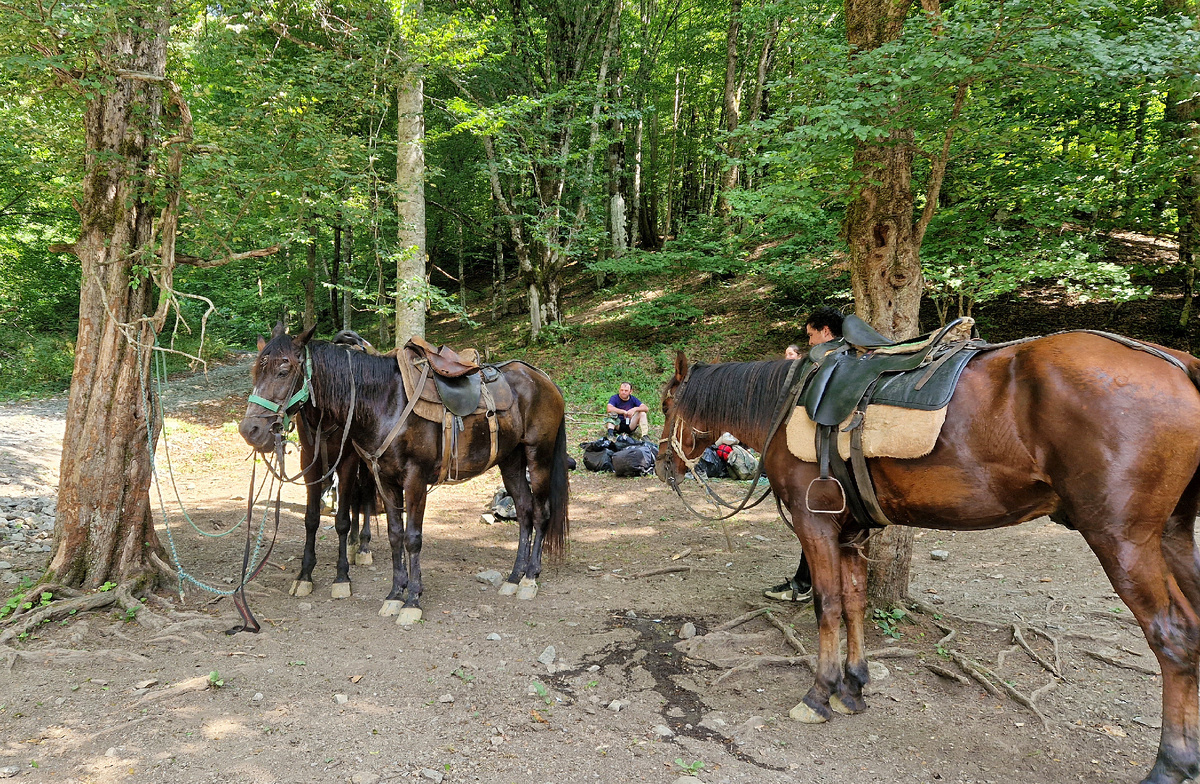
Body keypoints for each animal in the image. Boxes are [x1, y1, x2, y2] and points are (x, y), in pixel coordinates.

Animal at [239, 323, 570, 624]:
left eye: (283, 371)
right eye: (256, 372)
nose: (249, 430)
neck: (385, 402)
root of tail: (544, 379)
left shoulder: (414, 479)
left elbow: (412, 538)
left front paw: (412, 601)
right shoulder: (385, 479)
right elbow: (395, 535)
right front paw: (395, 595)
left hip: (538, 456)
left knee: (541, 513)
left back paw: (530, 578)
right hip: (510, 461)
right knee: (524, 511)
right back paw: (514, 577)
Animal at [656, 333, 1200, 784]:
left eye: (664, 403)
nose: (661, 465)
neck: (786, 408)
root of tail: (1180, 364)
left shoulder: (817, 527)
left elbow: (827, 605)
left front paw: (819, 693)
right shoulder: (851, 533)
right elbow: (855, 604)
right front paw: (853, 688)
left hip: (1122, 541)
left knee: (1173, 638)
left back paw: (1170, 765)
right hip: (1174, 536)